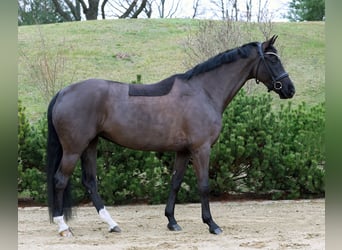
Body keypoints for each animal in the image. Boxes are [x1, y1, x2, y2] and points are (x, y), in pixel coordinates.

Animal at [47, 35, 294, 236]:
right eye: (273, 60)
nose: (290, 89)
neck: (203, 92)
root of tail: (63, 92)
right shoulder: (201, 149)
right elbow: (204, 185)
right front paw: (212, 224)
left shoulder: (183, 151)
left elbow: (175, 182)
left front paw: (172, 222)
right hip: (74, 148)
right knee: (60, 180)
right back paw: (63, 227)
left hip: (90, 144)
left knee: (90, 182)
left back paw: (112, 224)